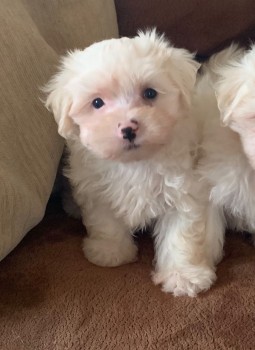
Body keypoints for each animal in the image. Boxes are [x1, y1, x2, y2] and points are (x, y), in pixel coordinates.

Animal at [43, 31, 217, 296]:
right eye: (97, 103)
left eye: (150, 93)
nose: (128, 128)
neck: (135, 162)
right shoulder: (97, 191)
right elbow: (105, 222)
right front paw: (110, 251)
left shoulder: (183, 192)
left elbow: (181, 236)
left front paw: (183, 275)